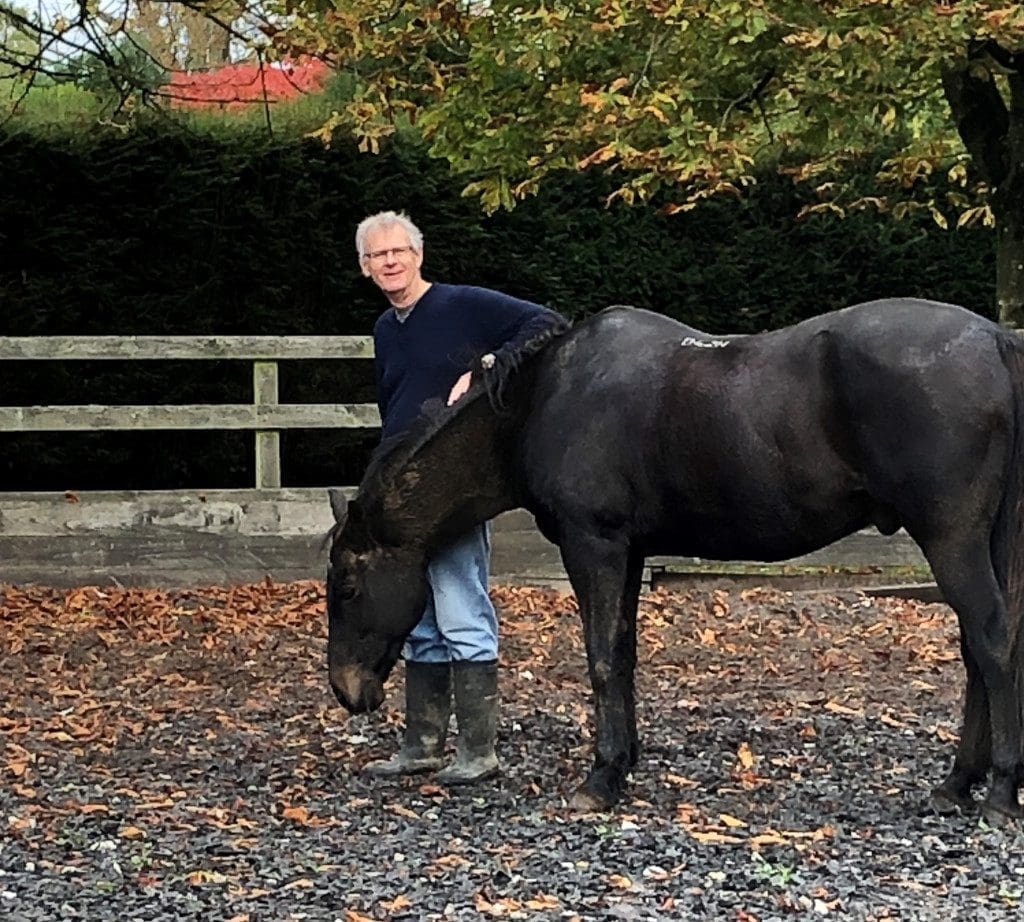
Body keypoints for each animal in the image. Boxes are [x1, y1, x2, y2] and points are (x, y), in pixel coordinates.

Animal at [323, 297, 1024, 819]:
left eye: (348, 586)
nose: (346, 691)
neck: (542, 401)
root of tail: (993, 339)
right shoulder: (629, 552)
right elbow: (625, 652)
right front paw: (624, 762)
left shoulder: (594, 544)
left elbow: (602, 657)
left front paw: (600, 779)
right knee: (978, 648)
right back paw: (957, 785)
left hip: (952, 538)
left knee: (992, 641)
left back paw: (999, 793)